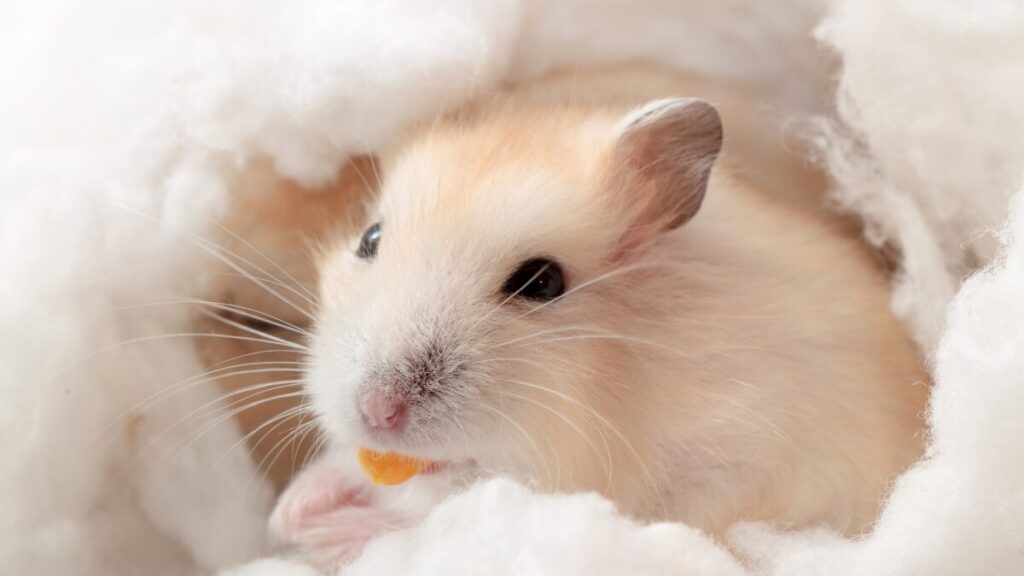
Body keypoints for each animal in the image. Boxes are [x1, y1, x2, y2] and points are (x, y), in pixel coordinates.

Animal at [270, 67, 929, 564]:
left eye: (541, 282)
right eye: (370, 239)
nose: (377, 413)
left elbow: (434, 520)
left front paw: (307, 528)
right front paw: (294, 505)